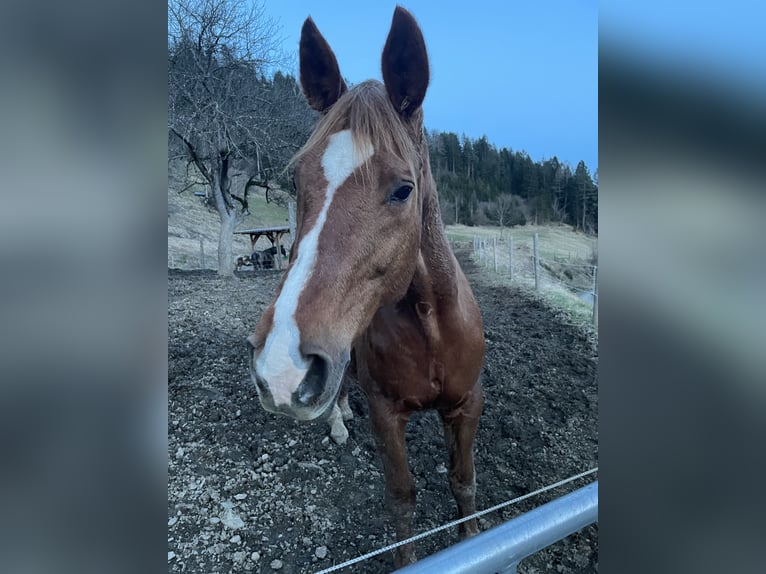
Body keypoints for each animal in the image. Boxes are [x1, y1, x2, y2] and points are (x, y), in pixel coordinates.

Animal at [248, 6, 486, 568]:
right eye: (298, 181)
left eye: (403, 189)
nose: (282, 367)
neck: (432, 326)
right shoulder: (386, 415)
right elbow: (401, 500)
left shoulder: (468, 406)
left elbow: (463, 484)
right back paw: (337, 421)